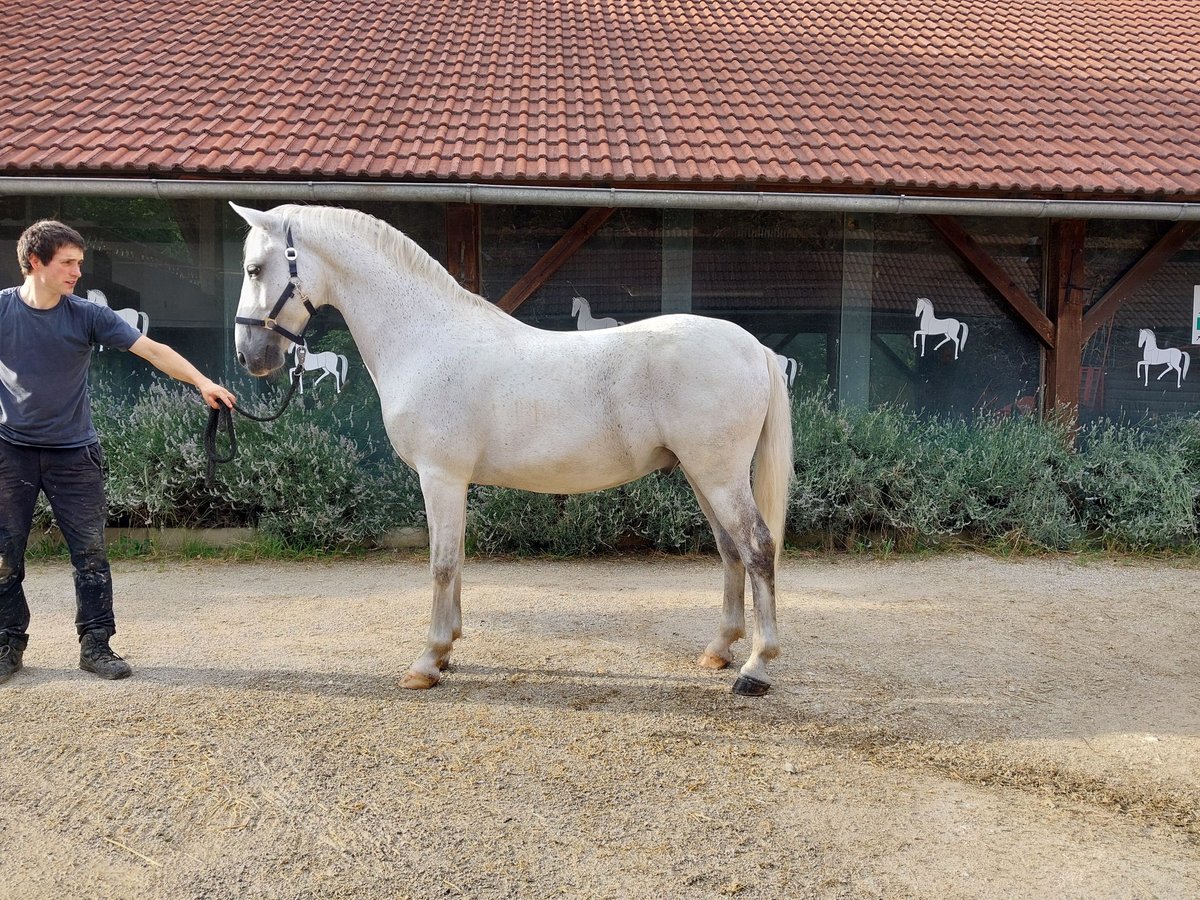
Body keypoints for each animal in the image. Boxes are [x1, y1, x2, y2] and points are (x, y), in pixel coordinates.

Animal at [231, 204, 796, 696]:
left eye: (255, 269)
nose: (250, 356)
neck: (427, 339)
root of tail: (754, 347)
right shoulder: (452, 482)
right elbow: (456, 558)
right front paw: (448, 651)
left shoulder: (440, 476)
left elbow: (441, 563)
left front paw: (426, 662)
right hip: (703, 475)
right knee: (730, 550)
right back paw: (719, 650)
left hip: (718, 474)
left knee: (757, 547)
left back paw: (755, 668)